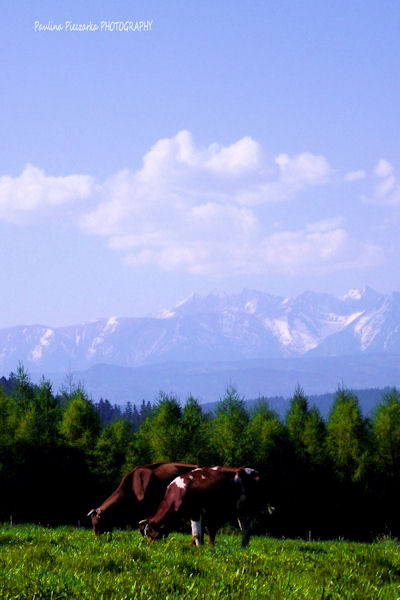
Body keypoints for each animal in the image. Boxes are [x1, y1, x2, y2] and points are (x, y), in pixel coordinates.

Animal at [138, 464, 268, 548]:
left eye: (149, 532)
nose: (149, 546)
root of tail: (254, 472)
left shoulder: (195, 512)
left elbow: (197, 533)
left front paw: (199, 549)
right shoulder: (206, 515)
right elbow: (206, 532)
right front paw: (204, 547)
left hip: (245, 510)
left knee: (245, 530)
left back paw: (242, 548)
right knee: (247, 529)